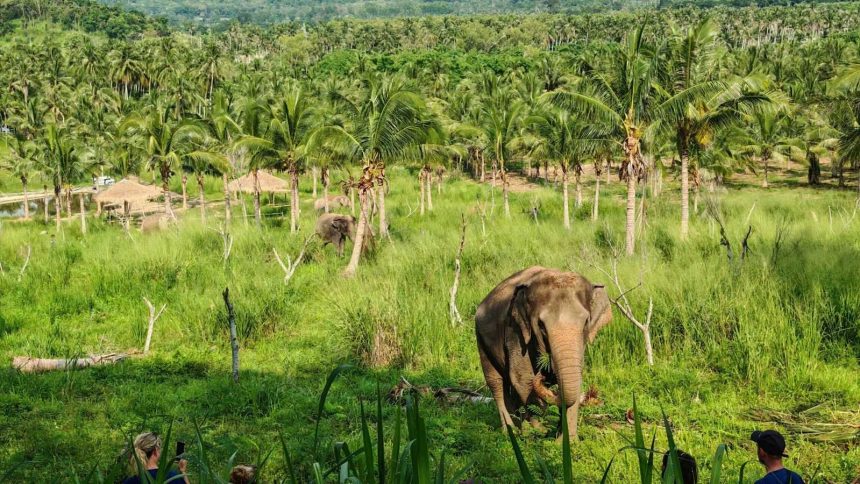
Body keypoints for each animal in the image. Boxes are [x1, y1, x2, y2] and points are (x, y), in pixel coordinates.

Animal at [475, 266, 612, 440]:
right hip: (481, 338)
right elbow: (523, 378)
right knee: (496, 382)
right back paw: (511, 432)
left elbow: (576, 378)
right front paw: (540, 431)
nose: (544, 375)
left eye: (586, 323)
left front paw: (568, 441)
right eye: (541, 325)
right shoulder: (515, 330)